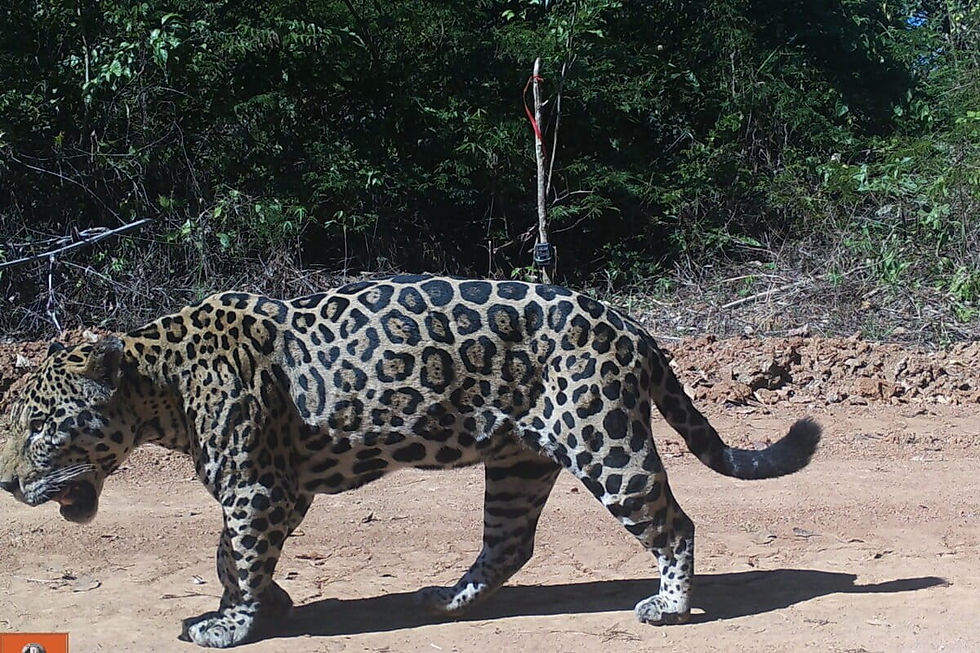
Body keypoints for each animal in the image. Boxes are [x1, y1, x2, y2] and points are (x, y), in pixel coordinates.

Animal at [0, 275, 820, 648]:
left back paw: (670, 605)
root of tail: (632, 325)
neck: (162, 384)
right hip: (520, 461)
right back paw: (448, 600)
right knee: (509, 541)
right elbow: (231, 553)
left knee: (673, 522)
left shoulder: (258, 486)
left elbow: (238, 551)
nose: (8, 481)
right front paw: (264, 603)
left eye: (40, 427)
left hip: (605, 437)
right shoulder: (282, 488)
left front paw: (233, 624)